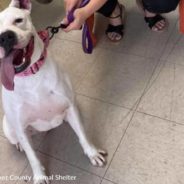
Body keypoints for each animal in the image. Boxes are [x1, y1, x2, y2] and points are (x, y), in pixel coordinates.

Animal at [0, 0, 106, 183]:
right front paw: (40, 177)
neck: (30, 77)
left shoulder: (70, 106)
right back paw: (20, 145)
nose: (5, 37)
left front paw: (92, 153)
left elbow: (83, 134)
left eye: (18, 20)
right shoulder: (20, 128)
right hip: (8, 127)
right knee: (19, 141)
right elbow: (32, 157)